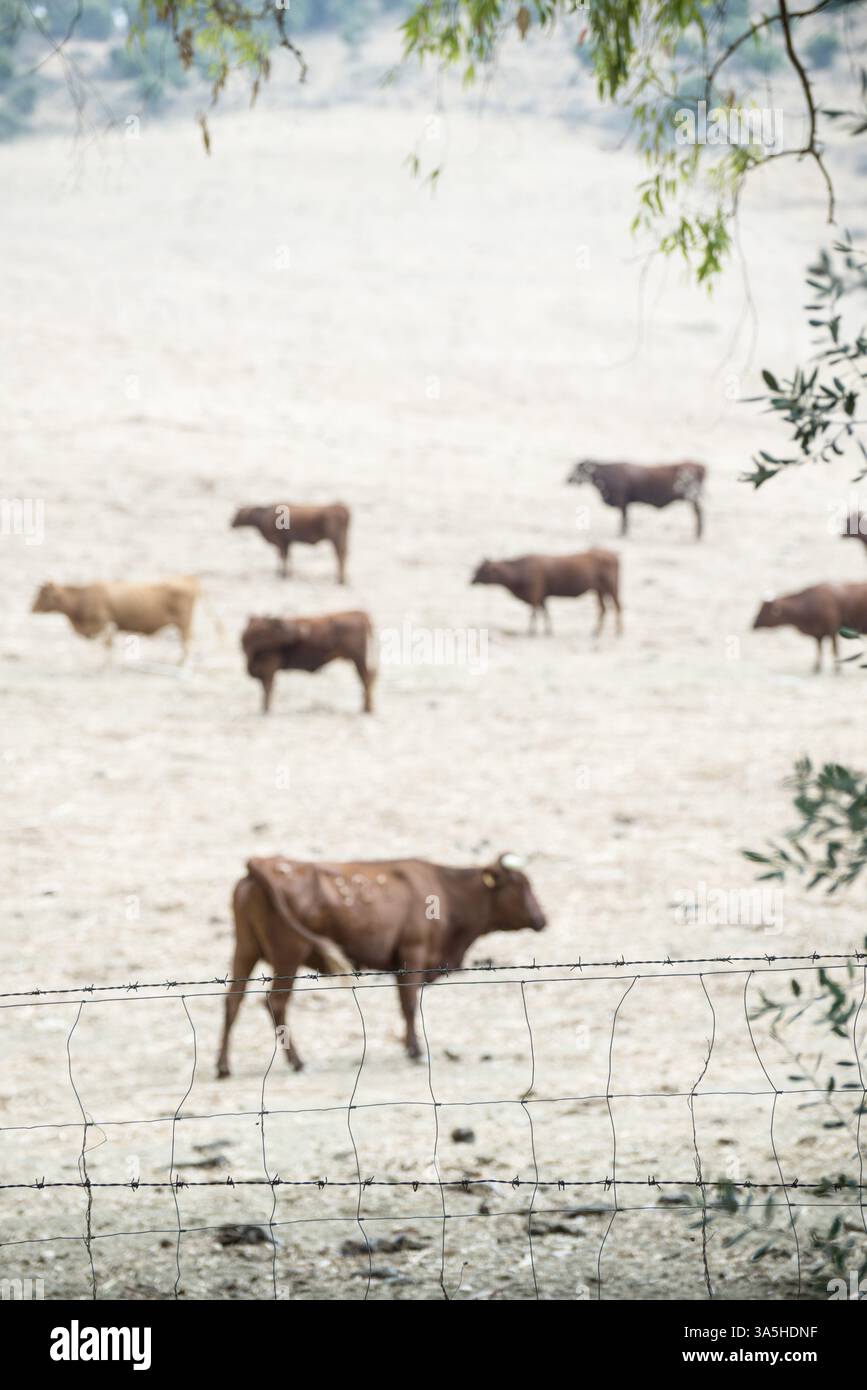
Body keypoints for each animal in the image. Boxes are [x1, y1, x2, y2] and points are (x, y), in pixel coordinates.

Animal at [31, 578, 200, 663]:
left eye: (44, 595)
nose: (31, 608)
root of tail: (190, 581)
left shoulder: (105, 624)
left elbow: (107, 646)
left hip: (184, 623)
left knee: (187, 644)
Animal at [216, 851, 547, 1076]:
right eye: (520, 886)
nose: (541, 919)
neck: (446, 890)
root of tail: (263, 864)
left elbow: (404, 1003)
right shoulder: (414, 952)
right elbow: (410, 1004)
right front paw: (416, 1051)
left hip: (245, 948)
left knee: (233, 1000)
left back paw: (223, 1065)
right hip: (289, 953)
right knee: (276, 1001)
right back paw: (296, 1061)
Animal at [241, 610, 376, 713]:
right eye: (280, 624)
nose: (303, 630)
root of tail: (361, 614)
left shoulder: (269, 669)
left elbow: (267, 689)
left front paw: (266, 710)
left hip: (360, 661)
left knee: (367, 681)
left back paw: (367, 710)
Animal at [471, 550, 622, 635]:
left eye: (482, 570)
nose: (470, 580)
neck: (519, 572)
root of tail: (614, 555)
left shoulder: (534, 596)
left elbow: (534, 613)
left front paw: (531, 631)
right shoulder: (542, 597)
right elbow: (545, 612)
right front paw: (548, 631)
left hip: (610, 588)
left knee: (617, 606)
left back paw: (617, 631)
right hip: (600, 590)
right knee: (604, 609)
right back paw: (597, 631)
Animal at [567, 459, 706, 539]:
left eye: (578, 470)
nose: (567, 479)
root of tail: (700, 466)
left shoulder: (622, 502)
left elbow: (624, 519)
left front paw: (622, 534)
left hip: (693, 498)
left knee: (698, 514)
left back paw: (698, 535)